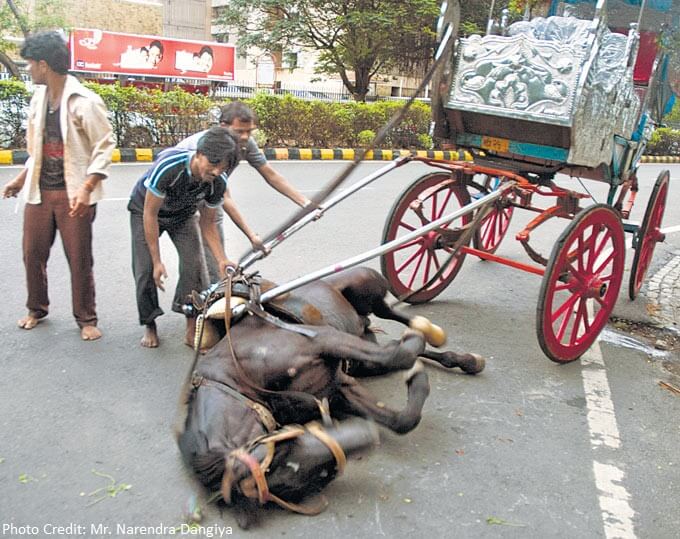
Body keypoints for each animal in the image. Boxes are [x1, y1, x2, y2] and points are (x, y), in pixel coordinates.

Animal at [175, 266, 484, 528]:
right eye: (314, 480)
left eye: (285, 451)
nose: (366, 438)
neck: (236, 377)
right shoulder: (337, 389)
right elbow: (400, 418)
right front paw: (414, 380)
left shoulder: (322, 340)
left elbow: (401, 354)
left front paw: (416, 344)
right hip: (361, 352)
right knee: (389, 346)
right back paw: (461, 358)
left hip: (364, 288)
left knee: (388, 311)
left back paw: (428, 330)